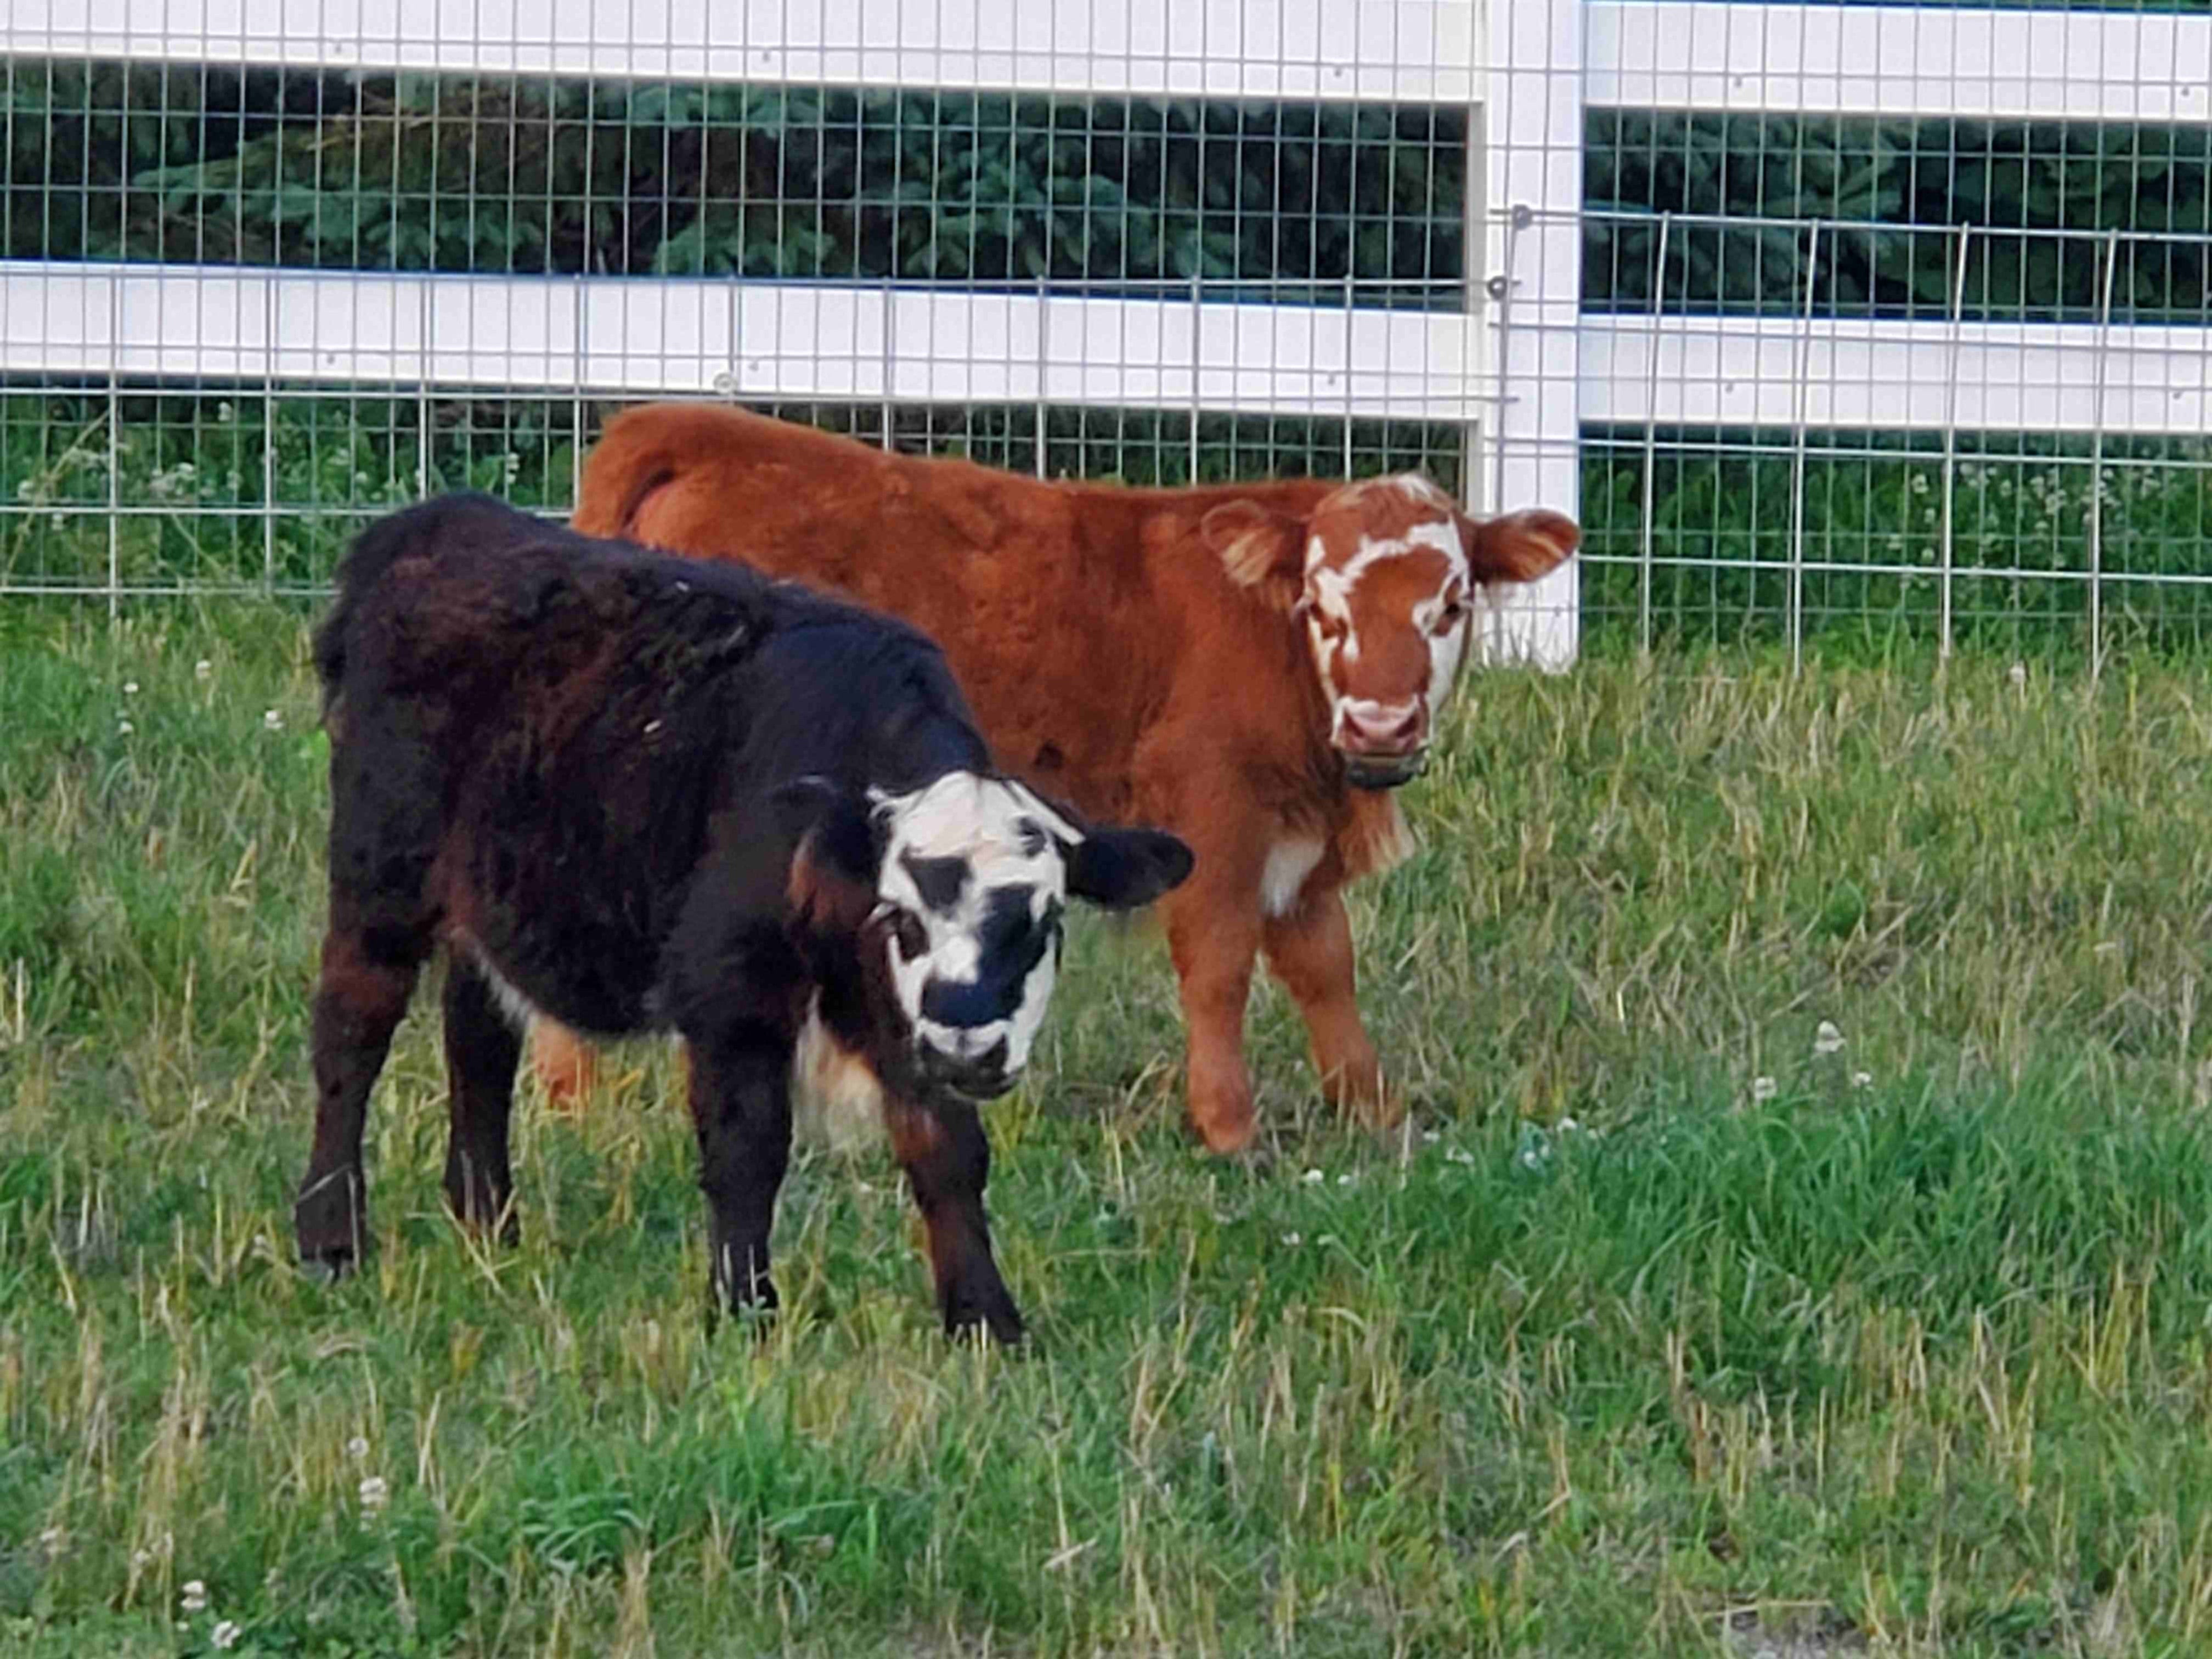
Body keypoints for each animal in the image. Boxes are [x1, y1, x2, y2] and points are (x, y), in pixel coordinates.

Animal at [293, 493, 1192, 1343]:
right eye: (903, 919)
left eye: (1040, 923)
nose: (968, 1046)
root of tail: (439, 522)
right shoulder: (731, 991)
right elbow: (748, 1147)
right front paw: (744, 1307)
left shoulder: (900, 1021)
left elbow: (948, 1153)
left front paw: (985, 1319)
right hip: (380, 879)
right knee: (350, 1037)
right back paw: (331, 1238)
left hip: (491, 895)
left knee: (477, 1041)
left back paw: (488, 1224)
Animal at [529, 404, 1579, 1154]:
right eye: (1323, 606)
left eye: (1451, 604)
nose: (1380, 722)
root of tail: (694, 430)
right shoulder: (1216, 815)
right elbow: (1220, 965)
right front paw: (1229, 1128)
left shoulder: (1300, 842)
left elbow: (1326, 968)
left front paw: (1376, 1112)